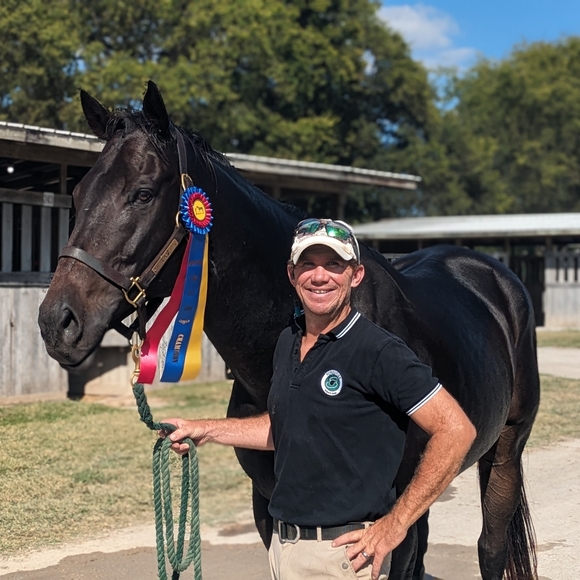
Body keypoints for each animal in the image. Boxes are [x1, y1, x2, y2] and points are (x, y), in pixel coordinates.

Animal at [38, 81, 539, 580]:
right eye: (77, 195)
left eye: (142, 194)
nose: (56, 322)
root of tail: (494, 274)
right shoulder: (268, 508)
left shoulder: (388, 526)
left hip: (504, 452)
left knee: (490, 547)